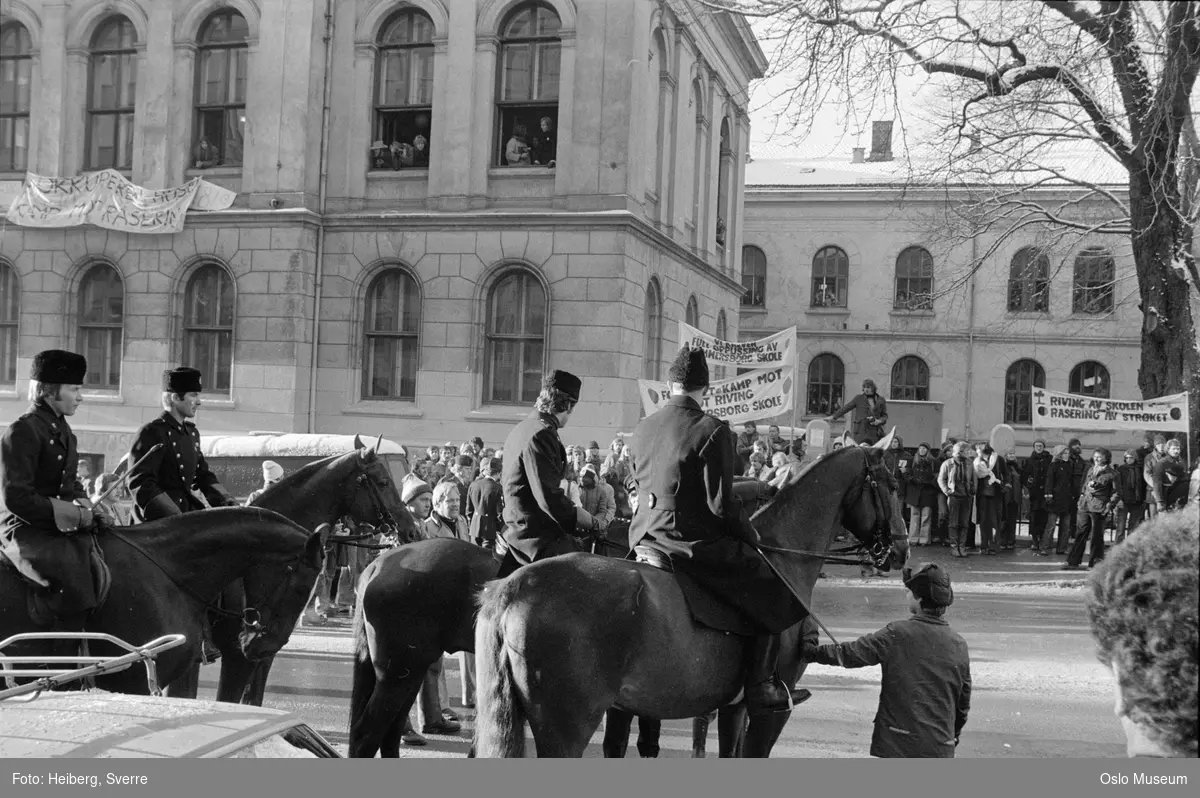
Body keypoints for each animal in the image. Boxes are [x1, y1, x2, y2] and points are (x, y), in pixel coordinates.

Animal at [472, 441, 902, 758]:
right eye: (892, 486)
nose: (900, 550)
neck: (783, 557)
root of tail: (516, 586)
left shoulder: (731, 707)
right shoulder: (767, 715)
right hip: (567, 727)